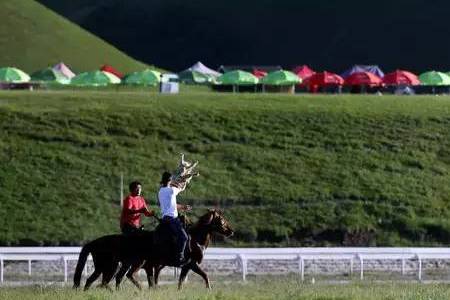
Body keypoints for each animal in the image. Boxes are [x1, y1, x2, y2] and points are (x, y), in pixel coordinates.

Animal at [72, 209, 234, 290]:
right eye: (221, 220)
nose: (231, 231)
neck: (195, 239)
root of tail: (93, 243)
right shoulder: (191, 264)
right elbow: (205, 276)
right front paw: (209, 290)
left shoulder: (183, 267)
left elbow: (180, 282)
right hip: (110, 266)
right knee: (105, 280)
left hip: (113, 266)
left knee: (101, 281)